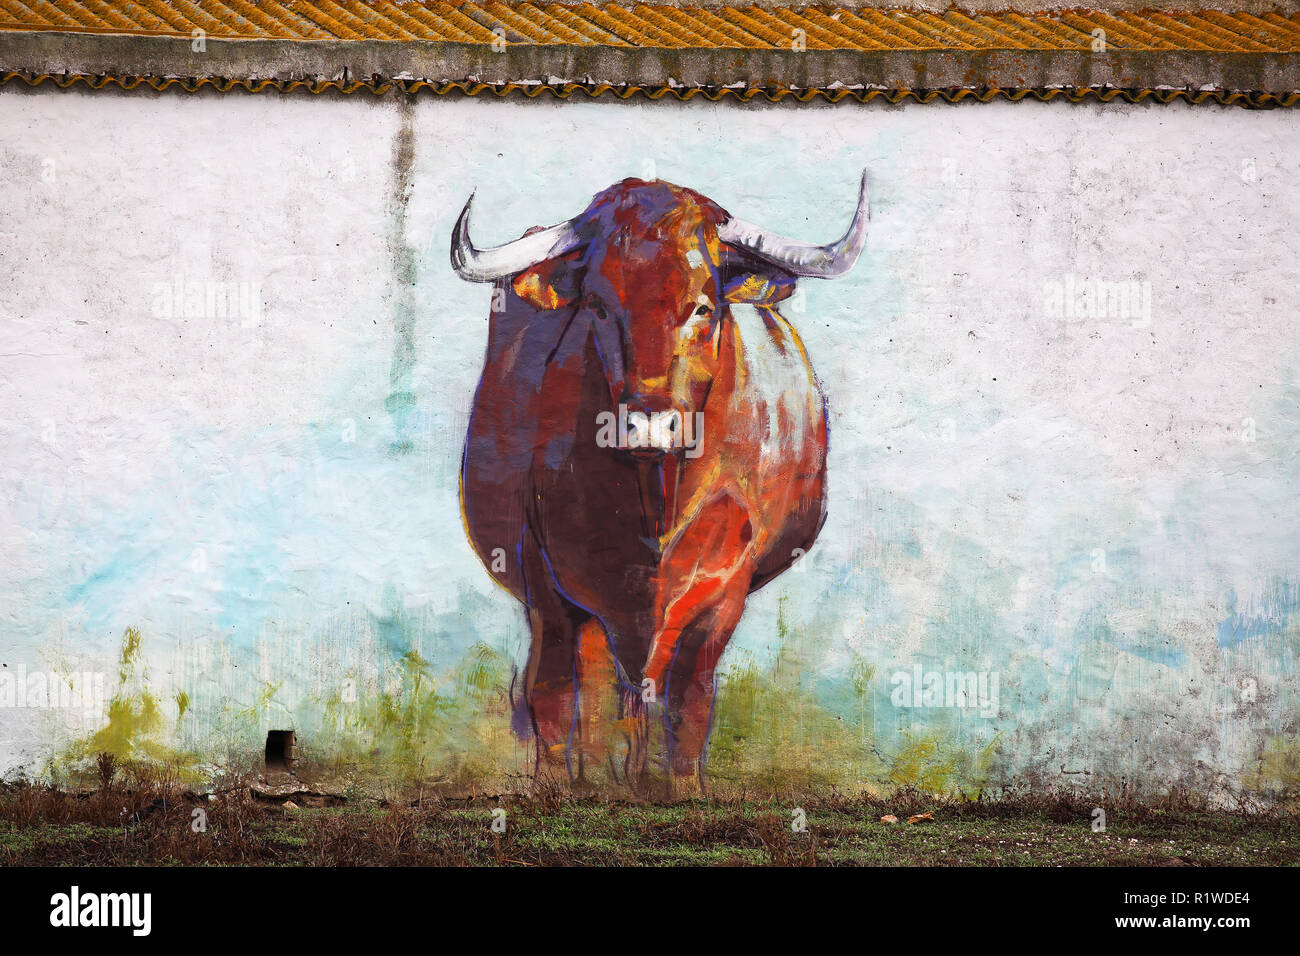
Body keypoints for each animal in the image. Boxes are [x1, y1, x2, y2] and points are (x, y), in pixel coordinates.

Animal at [451, 172, 869, 792]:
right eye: (598, 306)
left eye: (702, 305)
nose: (647, 423)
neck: (656, 500)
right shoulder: (546, 578)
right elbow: (551, 692)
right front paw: (557, 788)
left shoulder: (725, 588)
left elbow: (689, 700)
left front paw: (683, 789)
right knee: (597, 690)